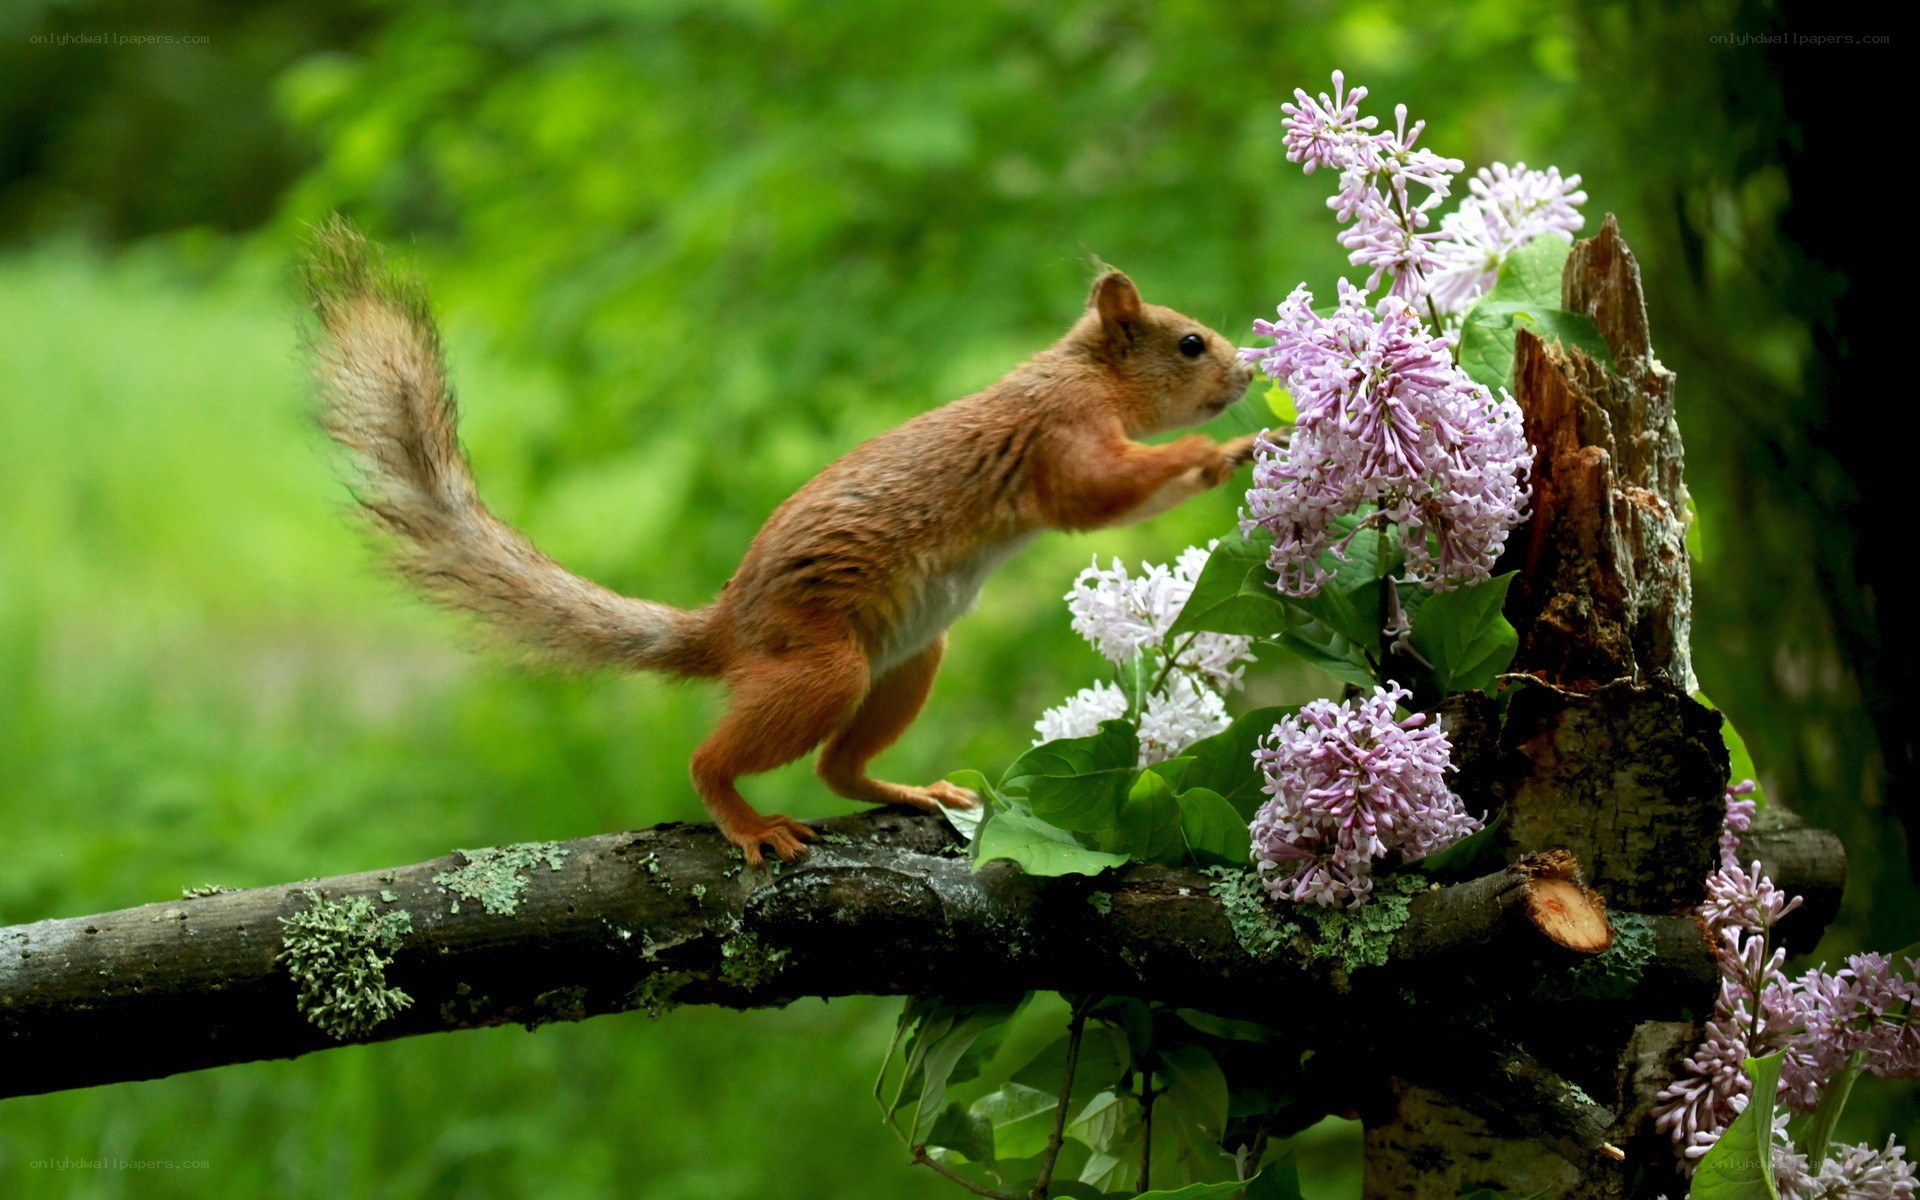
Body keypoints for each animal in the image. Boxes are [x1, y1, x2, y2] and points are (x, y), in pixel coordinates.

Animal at [302, 216, 1258, 864]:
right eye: (1190, 342)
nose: (1249, 374)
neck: (1080, 372)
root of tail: (725, 628)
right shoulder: (1061, 435)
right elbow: (1096, 496)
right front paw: (1222, 453)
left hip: (909, 661)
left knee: (839, 767)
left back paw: (908, 789)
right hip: (820, 665)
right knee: (710, 759)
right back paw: (747, 821)